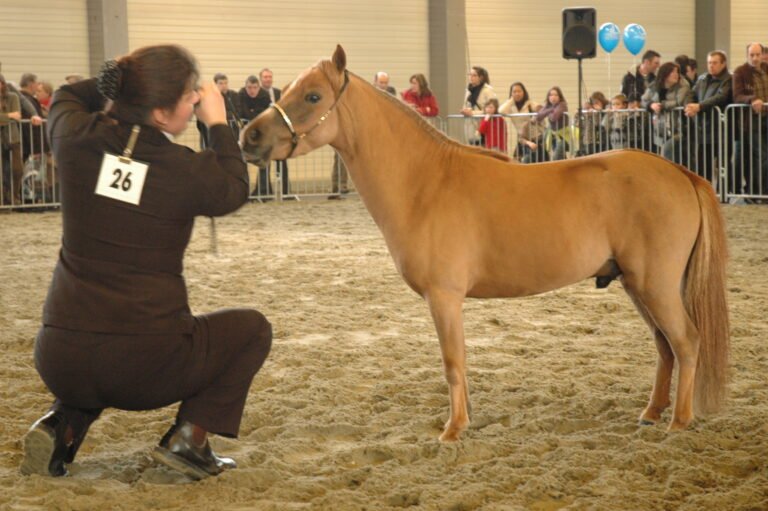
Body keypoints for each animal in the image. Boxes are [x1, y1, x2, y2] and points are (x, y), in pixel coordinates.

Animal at [240, 46, 730, 442]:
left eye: (313, 97)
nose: (249, 137)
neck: (425, 182)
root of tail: (681, 172)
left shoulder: (444, 298)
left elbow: (452, 362)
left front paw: (453, 429)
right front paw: (466, 419)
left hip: (655, 285)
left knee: (686, 342)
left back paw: (678, 422)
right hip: (635, 285)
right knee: (665, 346)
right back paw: (651, 413)